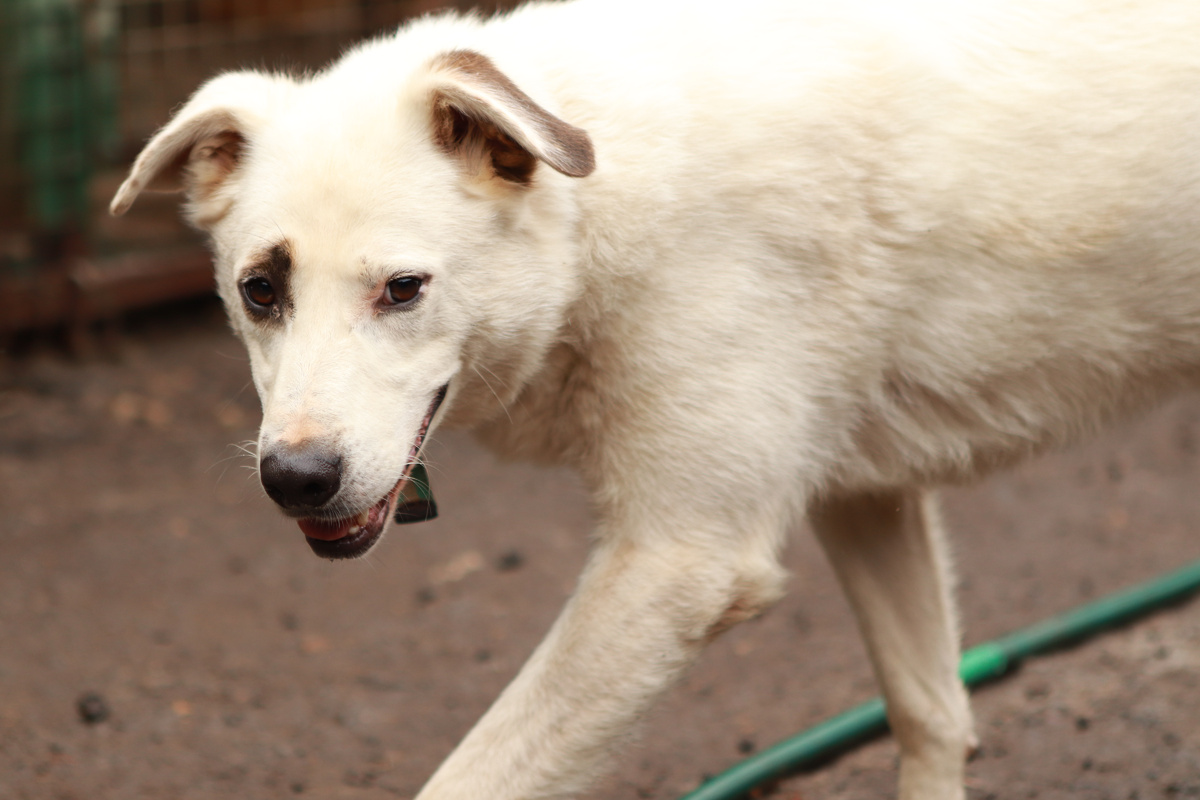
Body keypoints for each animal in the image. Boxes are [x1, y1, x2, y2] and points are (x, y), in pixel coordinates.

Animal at [110, 1, 1200, 796]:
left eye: (403, 289)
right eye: (261, 290)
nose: (295, 479)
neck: (596, 196)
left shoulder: (678, 564)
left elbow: (473, 776)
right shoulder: (865, 500)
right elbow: (932, 714)